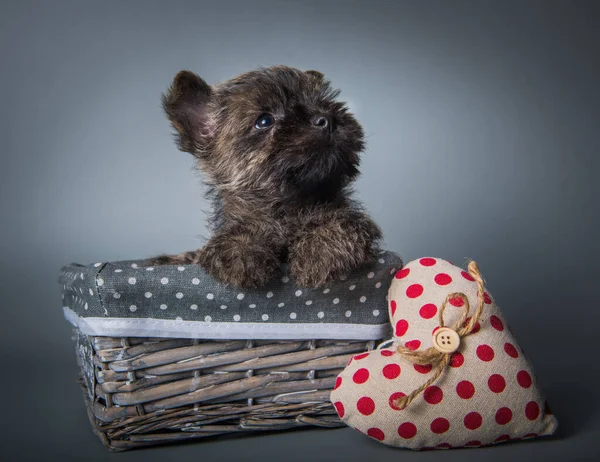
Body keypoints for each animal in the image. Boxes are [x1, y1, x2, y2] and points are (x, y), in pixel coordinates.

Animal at [152, 66, 382, 286]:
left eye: (323, 103)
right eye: (264, 121)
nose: (326, 119)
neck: (286, 209)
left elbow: (339, 220)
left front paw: (322, 249)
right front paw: (240, 249)